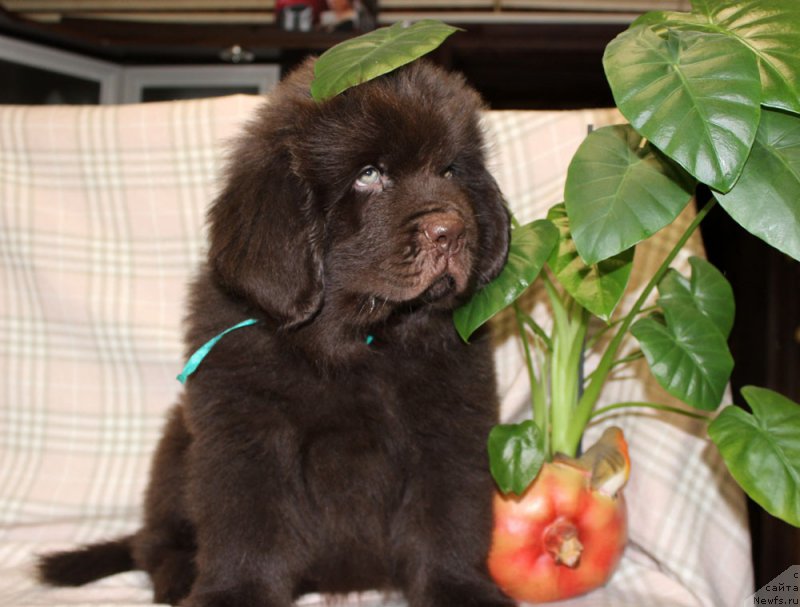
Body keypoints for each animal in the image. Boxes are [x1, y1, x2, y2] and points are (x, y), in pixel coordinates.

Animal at [38, 57, 513, 607]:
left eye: (450, 171)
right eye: (369, 175)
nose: (452, 231)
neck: (357, 339)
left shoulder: (449, 426)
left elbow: (447, 522)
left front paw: (460, 590)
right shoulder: (247, 434)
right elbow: (249, 529)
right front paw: (235, 595)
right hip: (177, 447)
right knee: (152, 543)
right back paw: (178, 575)